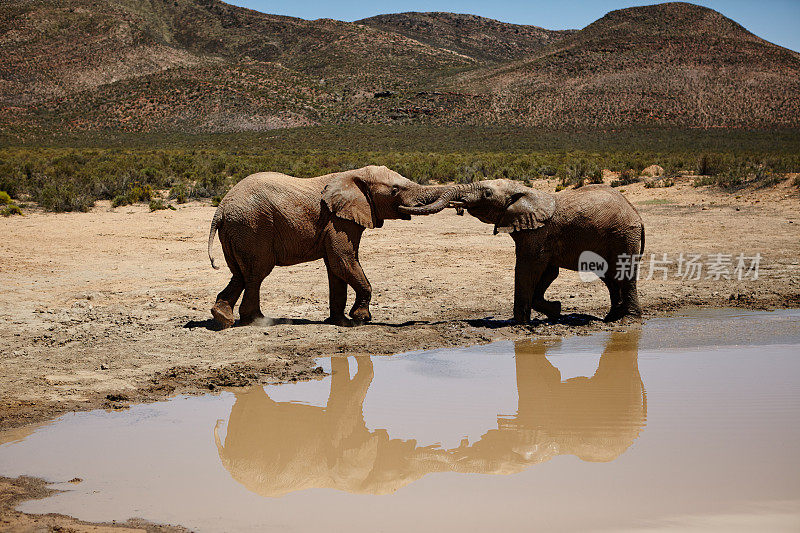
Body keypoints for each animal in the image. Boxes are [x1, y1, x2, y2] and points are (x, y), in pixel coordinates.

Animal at [206, 165, 456, 328]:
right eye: (395, 190)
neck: (355, 175)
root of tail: (221, 208)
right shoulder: (339, 220)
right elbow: (342, 260)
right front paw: (360, 319)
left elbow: (336, 268)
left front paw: (340, 322)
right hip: (252, 226)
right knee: (256, 273)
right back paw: (256, 321)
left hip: (238, 230)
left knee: (241, 274)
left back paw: (224, 317)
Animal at [404, 179, 648, 320]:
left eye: (488, 194)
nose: (402, 205)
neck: (524, 191)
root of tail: (636, 213)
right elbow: (547, 272)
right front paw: (555, 310)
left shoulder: (538, 232)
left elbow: (528, 268)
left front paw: (519, 323)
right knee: (609, 277)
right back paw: (611, 317)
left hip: (624, 234)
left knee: (623, 274)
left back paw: (628, 320)